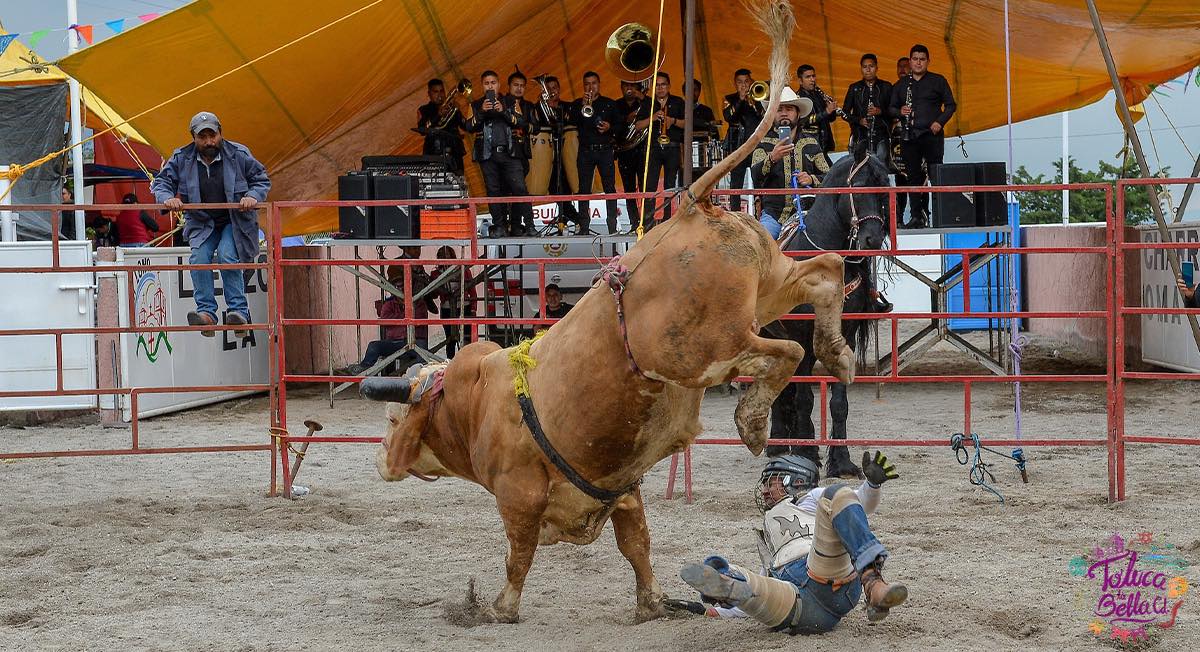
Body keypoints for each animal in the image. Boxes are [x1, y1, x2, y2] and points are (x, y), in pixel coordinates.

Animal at [362, 0, 854, 624]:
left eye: (392, 420)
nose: (380, 459)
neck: (476, 401)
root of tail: (690, 207)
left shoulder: (519, 498)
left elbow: (518, 555)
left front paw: (500, 608)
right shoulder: (624, 494)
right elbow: (637, 545)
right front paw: (651, 604)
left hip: (701, 351)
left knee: (782, 351)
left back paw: (754, 419)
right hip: (768, 284)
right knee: (827, 272)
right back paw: (838, 353)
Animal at [763, 144, 888, 480]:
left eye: (885, 188)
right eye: (859, 187)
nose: (873, 239)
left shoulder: (844, 336)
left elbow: (839, 403)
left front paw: (841, 461)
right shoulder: (801, 338)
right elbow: (805, 398)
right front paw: (806, 453)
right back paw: (777, 443)